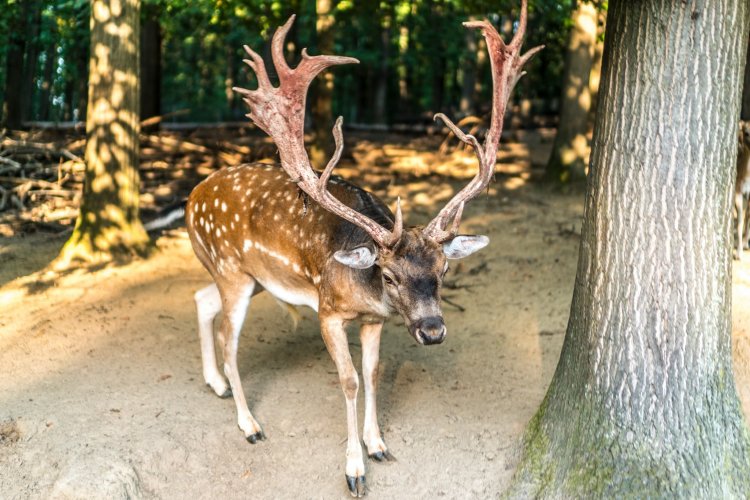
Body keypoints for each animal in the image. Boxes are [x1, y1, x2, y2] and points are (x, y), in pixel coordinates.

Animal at [186, 2, 544, 496]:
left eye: (444, 271)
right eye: (389, 275)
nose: (433, 331)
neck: (366, 292)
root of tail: (190, 199)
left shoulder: (375, 321)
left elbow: (373, 373)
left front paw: (378, 446)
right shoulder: (328, 310)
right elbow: (349, 380)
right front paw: (354, 470)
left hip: (249, 276)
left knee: (201, 298)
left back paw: (216, 384)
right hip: (233, 272)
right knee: (228, 337)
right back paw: (249, 424)